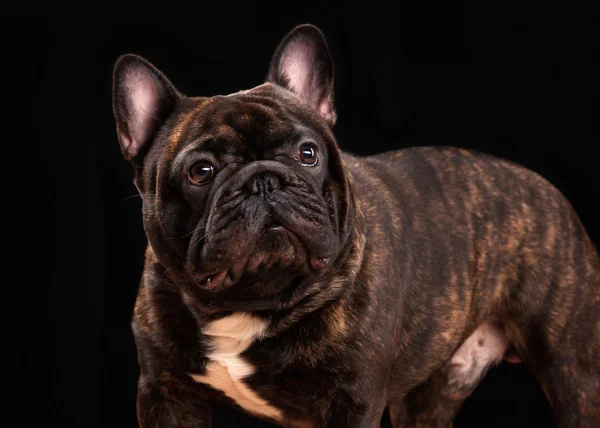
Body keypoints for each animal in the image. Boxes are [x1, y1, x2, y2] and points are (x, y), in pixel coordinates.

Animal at [112, 24, 600, 428]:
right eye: (201, 172)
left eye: (308, 153)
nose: (264, 179)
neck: (252, 303)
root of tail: (547, 189)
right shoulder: (166, 394)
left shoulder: (350, 402)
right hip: (430, 394)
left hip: (573, 372)